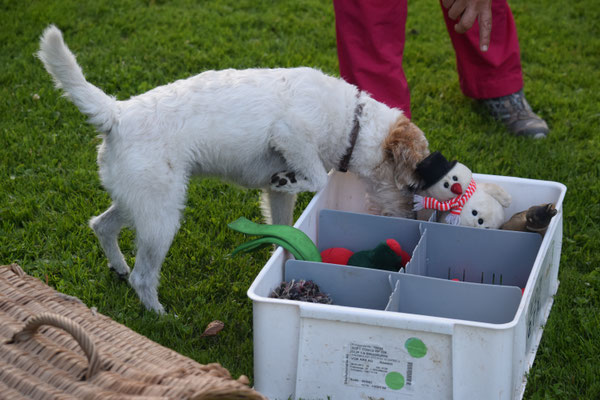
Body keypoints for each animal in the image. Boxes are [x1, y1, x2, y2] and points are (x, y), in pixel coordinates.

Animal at [37, 25, 428, 314]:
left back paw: (118, 267)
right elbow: (315, 177)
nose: (409, 220)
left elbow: (285, 226)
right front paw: (289, 179)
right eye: (411, 187)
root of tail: (116, 114)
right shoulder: (290, 134)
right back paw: (161, 315)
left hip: (142, 203)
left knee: (101, 226)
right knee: (142, 276)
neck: (352, 123)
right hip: (161, 218)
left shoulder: (276, 193)